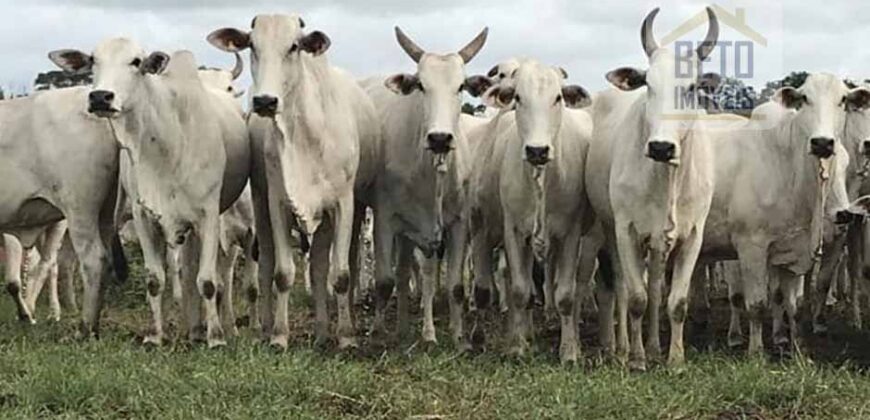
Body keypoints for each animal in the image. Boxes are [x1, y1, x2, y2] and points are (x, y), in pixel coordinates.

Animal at [50, 40, 250, 348]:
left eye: (136, 62)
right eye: (93, 60)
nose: (100, 97)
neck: (167, 144)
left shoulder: (209, 216)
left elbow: (208, 281)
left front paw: (216, 337)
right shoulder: (144, 217)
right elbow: (155, 279)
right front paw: (155, 336)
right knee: (186, 272)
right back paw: (193, 329)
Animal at [208, 13, 382, 348]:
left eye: (293, 46)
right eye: (253, 45)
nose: (265, 101)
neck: (306, 135)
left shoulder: (343, 204)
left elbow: (340, 274)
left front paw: (346, 337)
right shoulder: (277, 203)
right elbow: (283, 273)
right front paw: (279, 335)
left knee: (322, 267)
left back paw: (325, 332)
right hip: (261, 207)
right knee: (267, 266)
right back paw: (268, 327)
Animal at [360, 25, 494, 348]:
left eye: (460, 86)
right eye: (421, 85)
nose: (440, 138)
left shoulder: (457, 224)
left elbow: (455, 285)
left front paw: (458, 337)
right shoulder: (385, 220)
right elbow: (385, 282)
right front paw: (379, 334)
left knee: (407, 272)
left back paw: (404, 327)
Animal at [474, 59, 596, 360]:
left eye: (558, 98)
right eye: (518, 97)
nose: (537, 151)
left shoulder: (570, 234)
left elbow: (566, 294)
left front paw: (569, 351)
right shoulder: (515, 232)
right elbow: (520, 291)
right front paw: (518, 346)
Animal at [584, 7, 724, 368]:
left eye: (691, 87)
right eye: (648, 84)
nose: (661, 147)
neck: (665, 178)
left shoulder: (693, 235)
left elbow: (676, 302)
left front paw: (674, 359)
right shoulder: (626, 229)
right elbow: (635, 298)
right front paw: (636, 358)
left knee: (658, 286)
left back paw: (654, 346)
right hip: (610, 230)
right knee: (619, 287)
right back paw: (621, 348)